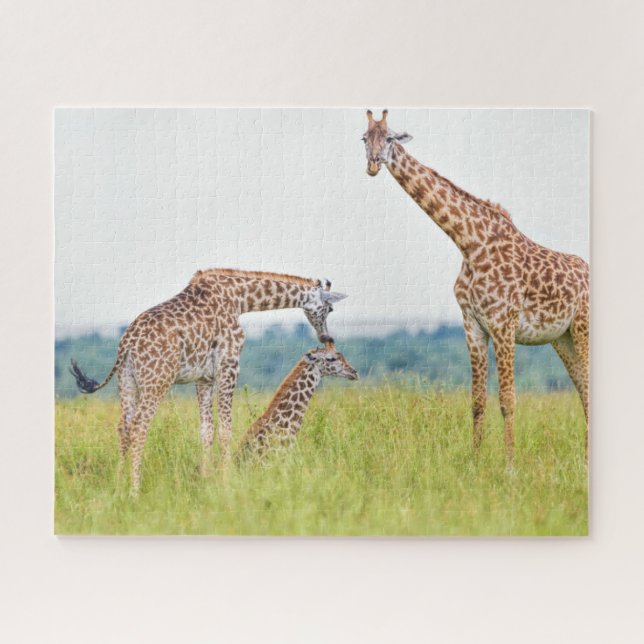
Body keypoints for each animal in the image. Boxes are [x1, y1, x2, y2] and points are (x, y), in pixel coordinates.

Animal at [69, 268, 347, 492]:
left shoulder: (202, 377)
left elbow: (206, 431)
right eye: (330, 308)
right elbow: (225, 429)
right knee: (139, 428)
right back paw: (134, 490)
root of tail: (126, 343)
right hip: (156, 381)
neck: (239, 299)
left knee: (123, 427)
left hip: (126, 381)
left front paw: (206, 479)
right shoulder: (229, 365)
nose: (326, 337)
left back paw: (118, 485)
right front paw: (226, 480)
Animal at [362, 110, 589, 464]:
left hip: (582, 328)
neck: (469, 243)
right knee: (584, 390)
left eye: (389, 138)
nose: (372, 165)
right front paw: (476, 460)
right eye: (363, 138)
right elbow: (477, 401)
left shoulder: (503, 324)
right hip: (562, 338)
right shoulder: (473, 324)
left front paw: (510, 465)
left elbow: (508, 400)